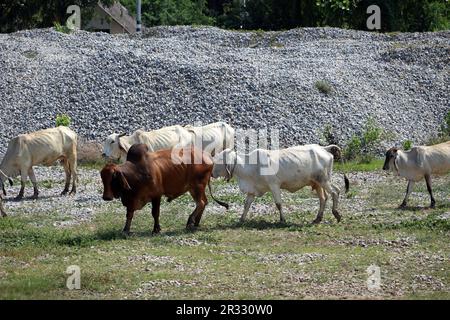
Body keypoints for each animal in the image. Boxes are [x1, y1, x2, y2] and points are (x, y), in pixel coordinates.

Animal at [101, 144, 229, 234]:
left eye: (113, 177)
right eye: (102, 178)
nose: (106, 197)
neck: (136, 173)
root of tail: (208, 156)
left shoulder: (156, 195)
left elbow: (155, 213)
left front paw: (156, 229)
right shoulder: (131, 200)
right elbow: (129, 214)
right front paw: (126, 229)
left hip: (198, 186)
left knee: (201, 203)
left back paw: (190, 222)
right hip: (194, 188)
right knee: (204, 202)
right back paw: (196, 223)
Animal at [213, 144, 350, 222]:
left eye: (219, 160)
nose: (212, 173)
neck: (250, 167)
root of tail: (323, 148)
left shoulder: (274, 185)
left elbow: (278, 204)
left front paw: (282, 219)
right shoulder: (252, 190)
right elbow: (246, 205)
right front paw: (241, 219)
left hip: (323, 180)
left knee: (335, 192)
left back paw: (336, 214)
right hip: (318, 182)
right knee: (324, 197)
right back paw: (318, 218)